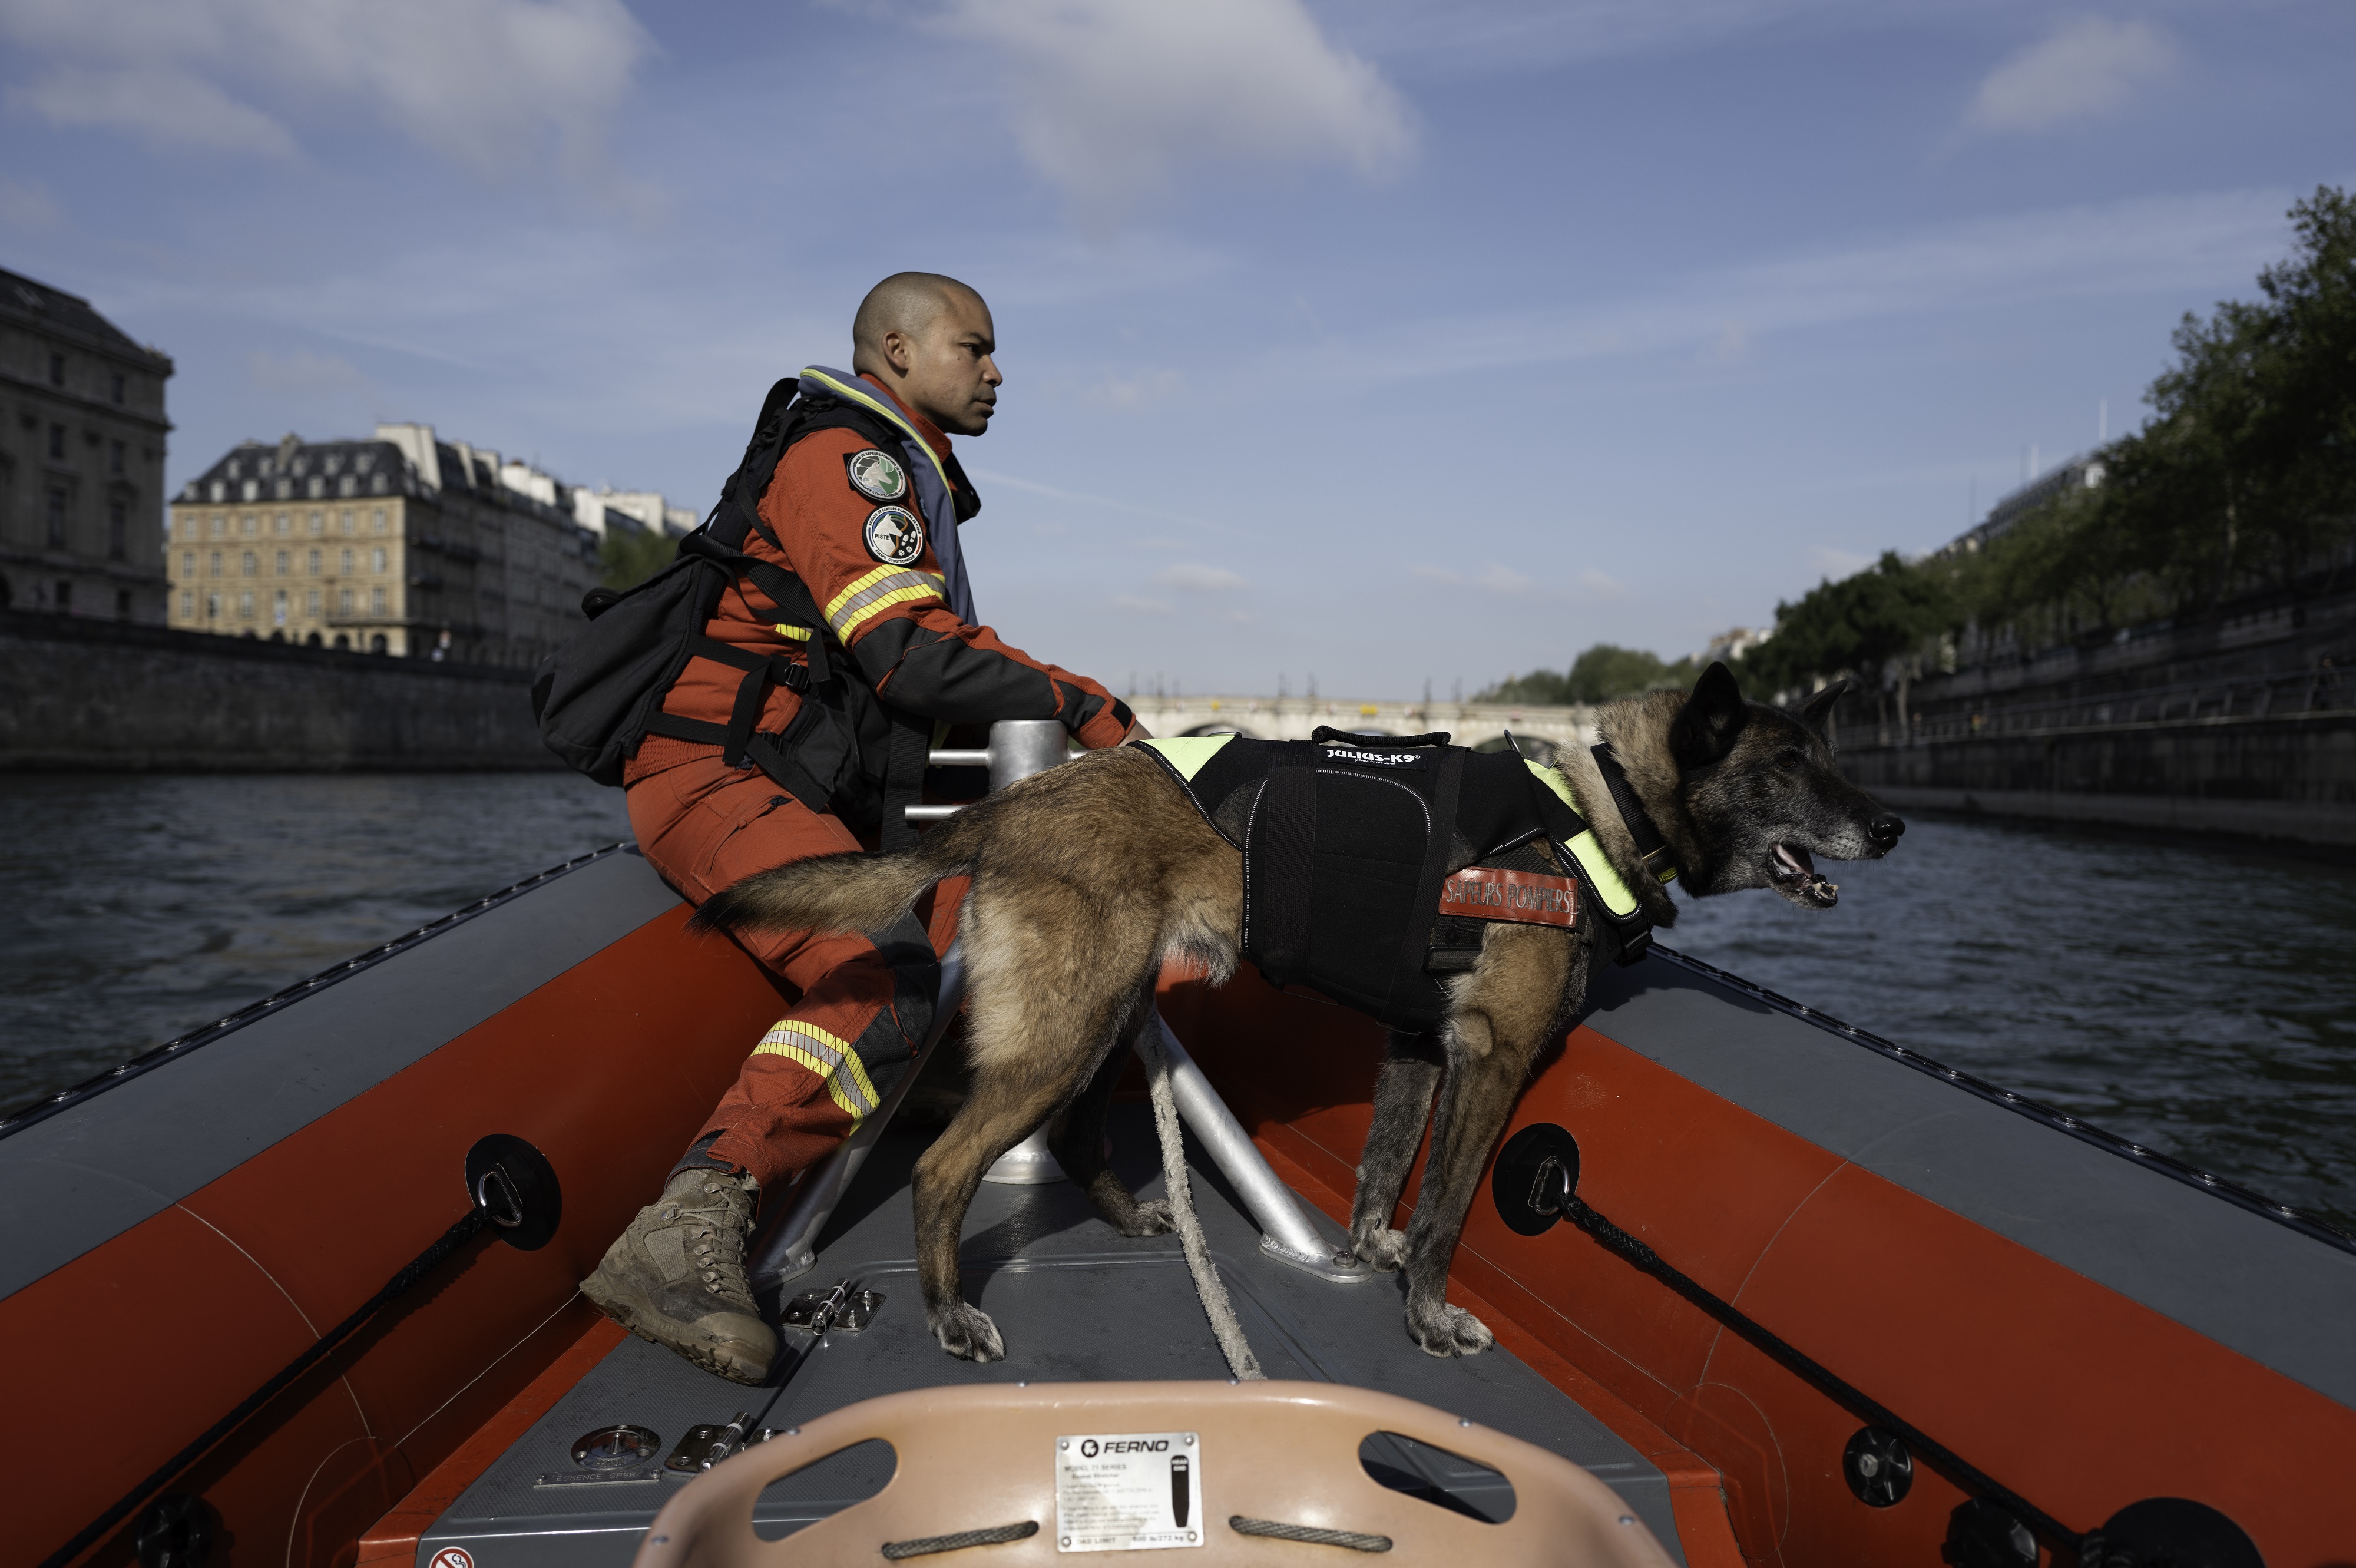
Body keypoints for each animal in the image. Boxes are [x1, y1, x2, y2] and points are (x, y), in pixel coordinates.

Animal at [688, 654, 1904, 1356]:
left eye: (1832, 755)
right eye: (1788, 764)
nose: (1891, 824)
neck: (1595, 804)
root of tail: (1014, 804)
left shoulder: (1420, 1042)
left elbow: (1385, 1173)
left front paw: (1369, 1259)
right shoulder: (1494, 1053)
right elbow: (1450, 1205)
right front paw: (1428, 1316)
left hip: (1104, 1011)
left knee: (1078, 1131)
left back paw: (1129, 1217)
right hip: (1066, 1029)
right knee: (944, 1167)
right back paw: (948, 1311)